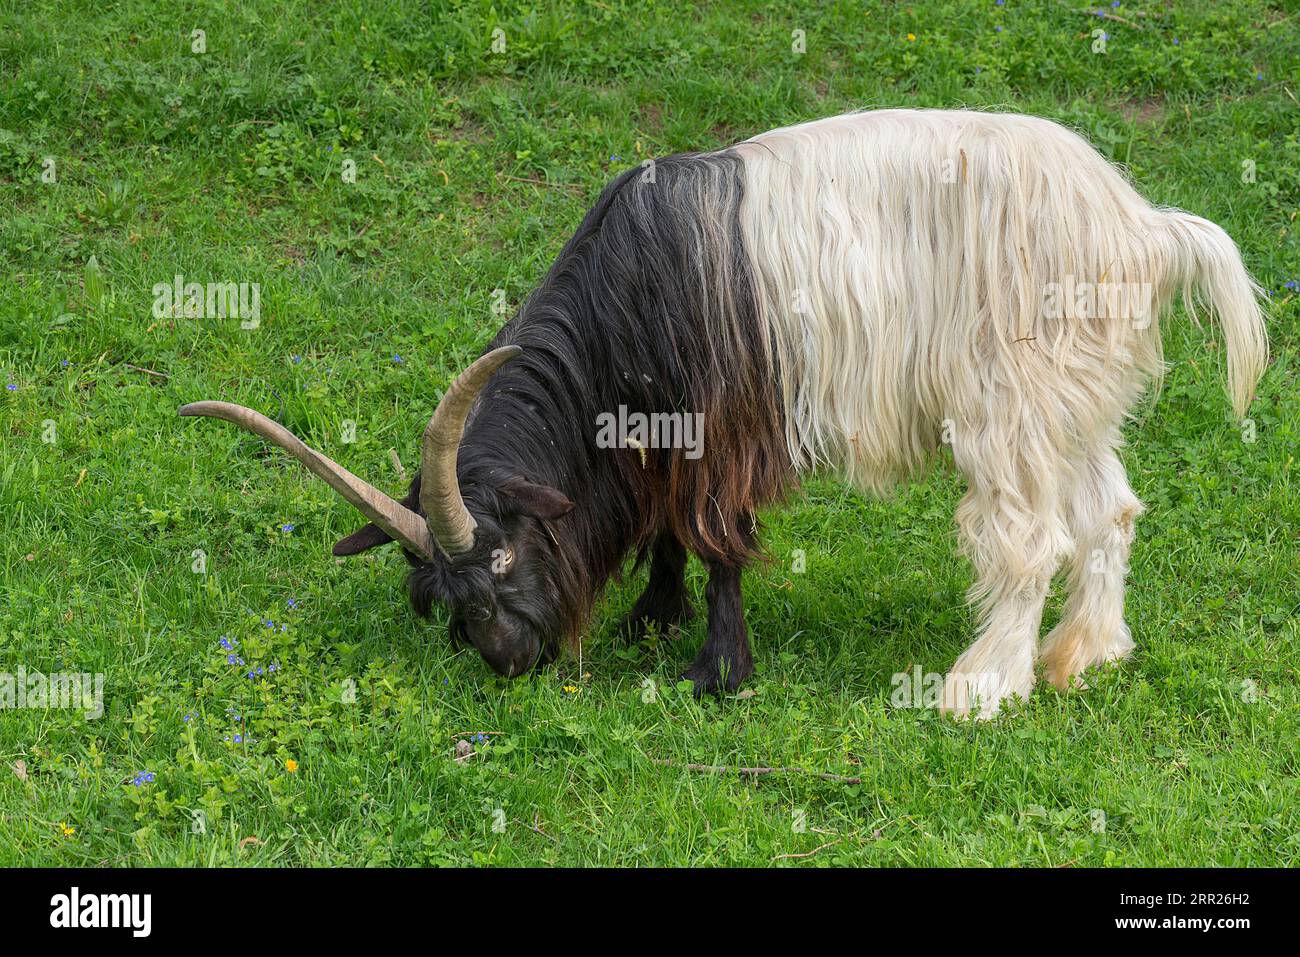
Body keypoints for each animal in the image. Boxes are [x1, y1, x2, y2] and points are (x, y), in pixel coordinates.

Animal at [178, 108, 1263, 712]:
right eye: (435, 600)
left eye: (503, 559)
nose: (511, 660)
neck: (629, 292)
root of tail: (1143, 227)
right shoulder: (659, 438)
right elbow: (662, 528)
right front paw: (650, 619)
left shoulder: (723, 426)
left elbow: (717, 542)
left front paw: (715, 670)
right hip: (1077, 394)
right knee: (1109, 509)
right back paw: (1085, 655)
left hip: (1012, 396)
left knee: (1029, 536)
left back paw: (981, 687)